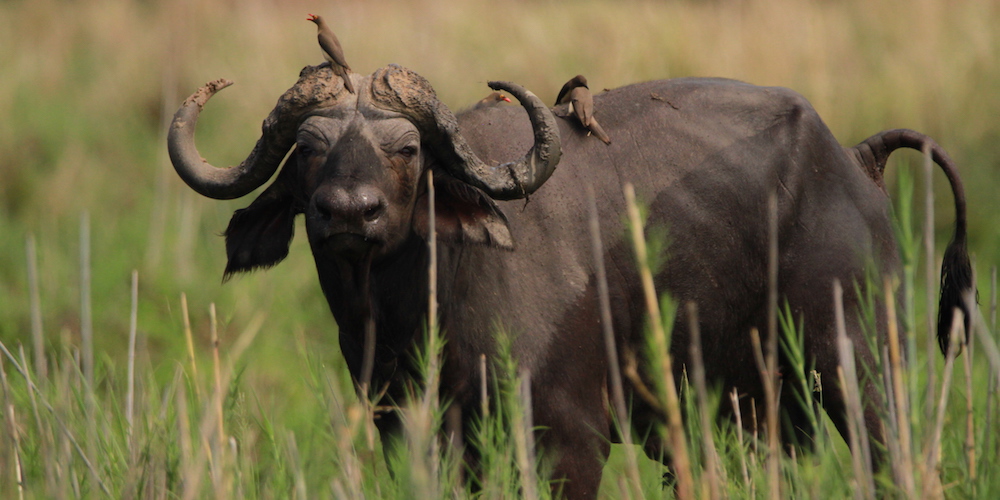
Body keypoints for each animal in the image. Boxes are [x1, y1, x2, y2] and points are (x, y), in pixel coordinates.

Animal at [168, 64, 972, 499]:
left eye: (406, 149)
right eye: (308, 149)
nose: (347, 213)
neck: (422, 308)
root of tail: (856, 161)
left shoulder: (568, 439)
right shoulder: (409, 430)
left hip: (860, 366)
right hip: (748, 410)